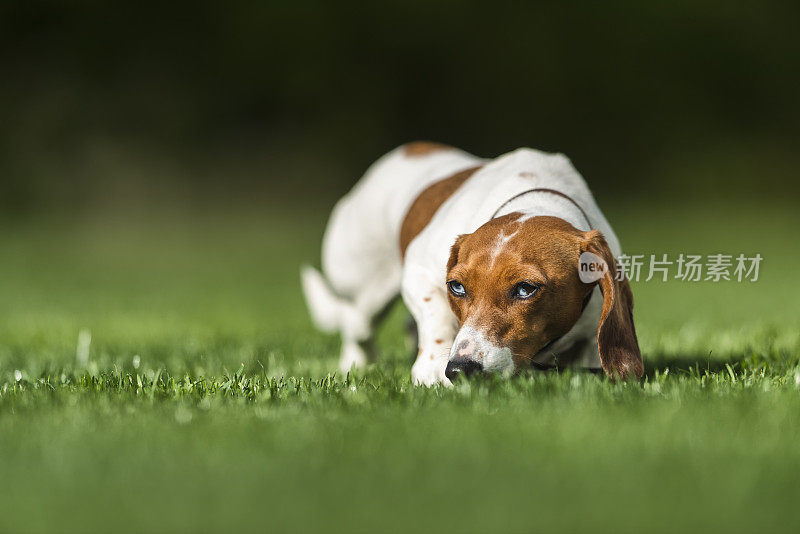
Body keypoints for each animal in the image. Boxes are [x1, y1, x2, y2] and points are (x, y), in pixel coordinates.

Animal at [300, 142, 644, 386]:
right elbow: (437, 317)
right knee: (357, 327)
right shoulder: (419, 274)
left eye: (526, 289)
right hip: (366, 289)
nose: (460, 369)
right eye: (456, 286)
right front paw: (431, 368)